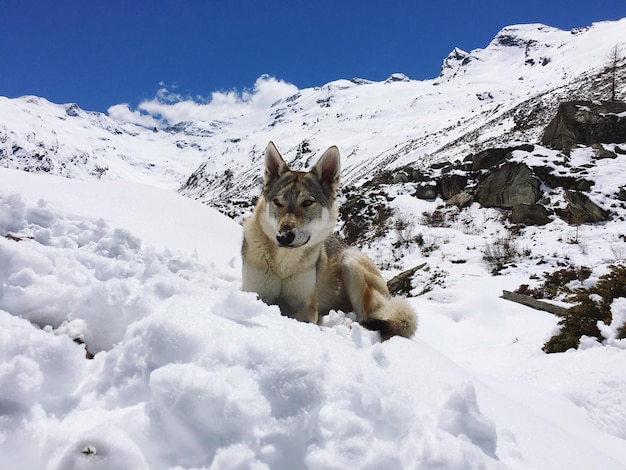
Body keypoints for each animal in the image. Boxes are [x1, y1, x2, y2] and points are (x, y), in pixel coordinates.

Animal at [241, 141, 416, 340]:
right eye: (277, 202)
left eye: (307, 203)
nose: (283, 237)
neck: (284, 265)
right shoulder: (254, 293)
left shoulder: (308, 307)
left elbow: (295, 315)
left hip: (350, 261)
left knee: (366, 319)